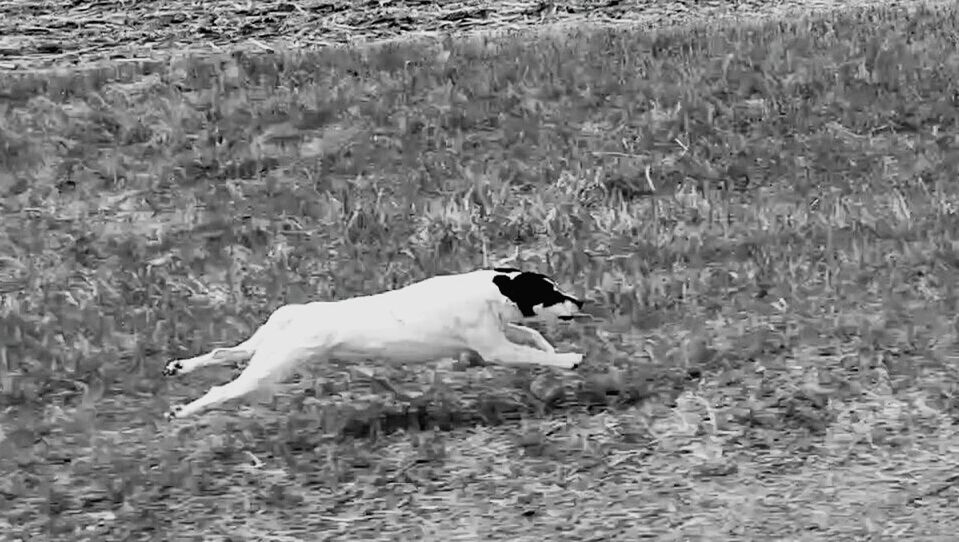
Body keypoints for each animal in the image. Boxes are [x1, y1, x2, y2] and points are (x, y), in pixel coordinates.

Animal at [163, 268, 584, 420]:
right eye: (550, 292)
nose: (581, 302)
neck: (490, 290)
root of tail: (301, 315)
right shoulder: (495, 349)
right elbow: (530, 349)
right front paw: (569, 360)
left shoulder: (496, 336)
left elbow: (534, 337)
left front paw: (552, 357)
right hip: (269, 369)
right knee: (221, 390)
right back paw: (183, 412)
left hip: (262, 349)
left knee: (223, 353)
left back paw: (181, 367)